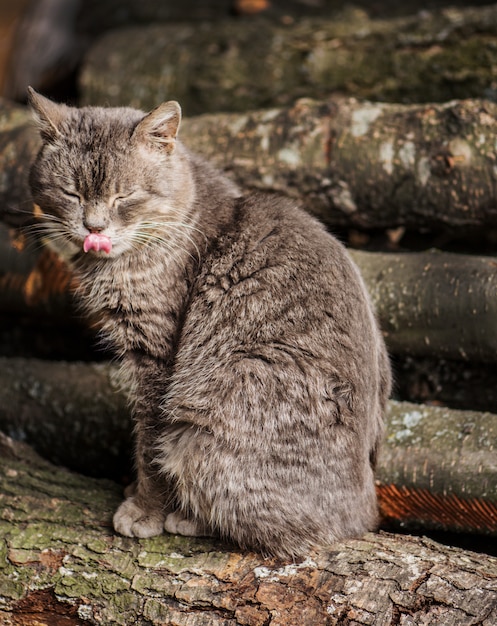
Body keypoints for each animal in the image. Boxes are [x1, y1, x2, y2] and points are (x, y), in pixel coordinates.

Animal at [28, 86, 392, 556]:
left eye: (124, 196)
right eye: (71, 193)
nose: (95, 227)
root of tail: (364, 511)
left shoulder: (157, 359)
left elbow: (150, 444)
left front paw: (145, 510)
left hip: (210, 415)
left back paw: (188, 517)